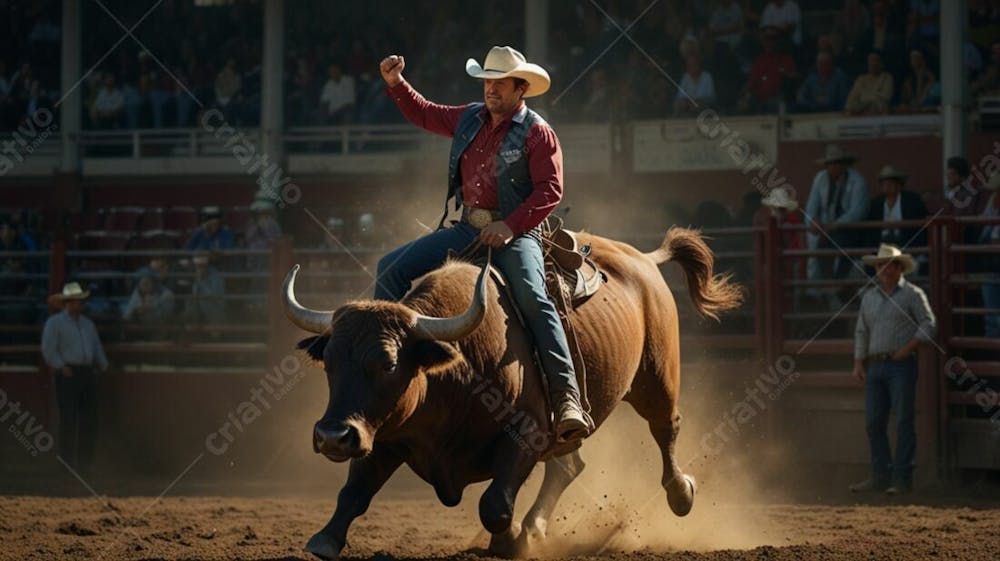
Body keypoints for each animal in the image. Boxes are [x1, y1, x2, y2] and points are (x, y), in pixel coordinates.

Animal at [282, 225, 744, 556]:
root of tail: (644, 260)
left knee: (665, 429)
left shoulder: (528, 434)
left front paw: (506, 544)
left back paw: (681, 493)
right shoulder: (384, 435)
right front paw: (326, 538)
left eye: (389, 363)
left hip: (657, 379)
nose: (332, 436)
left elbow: (495, 505)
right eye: (330, 362)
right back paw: (535, 528)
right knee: (568, 466)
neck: (460, 369)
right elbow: (354, 492)